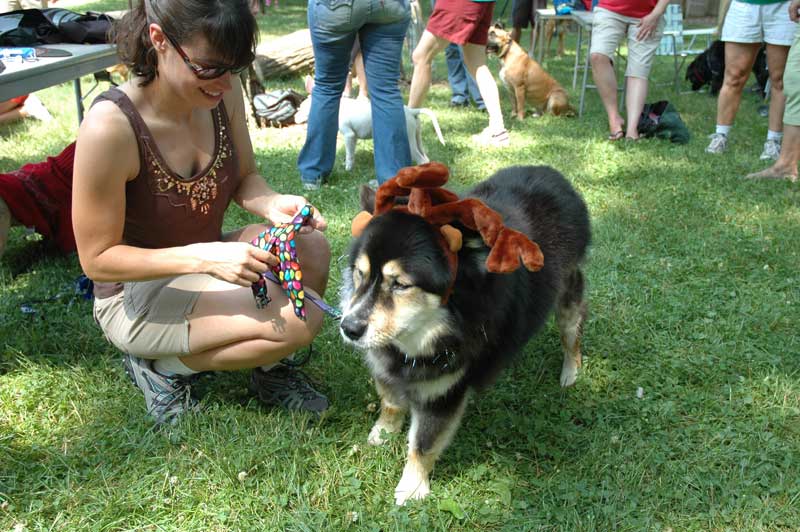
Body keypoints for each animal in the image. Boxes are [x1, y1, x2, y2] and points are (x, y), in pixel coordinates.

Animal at [296, 78, 444, 170]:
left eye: (301, 107)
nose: (295, 117)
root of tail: (411, 111)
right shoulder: (353, 137)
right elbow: (352, 153)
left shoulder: (348, 135)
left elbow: (349, 154)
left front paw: (348, 168)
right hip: (417, 137)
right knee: (425, 157)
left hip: (409, 141)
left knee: (421, 160)